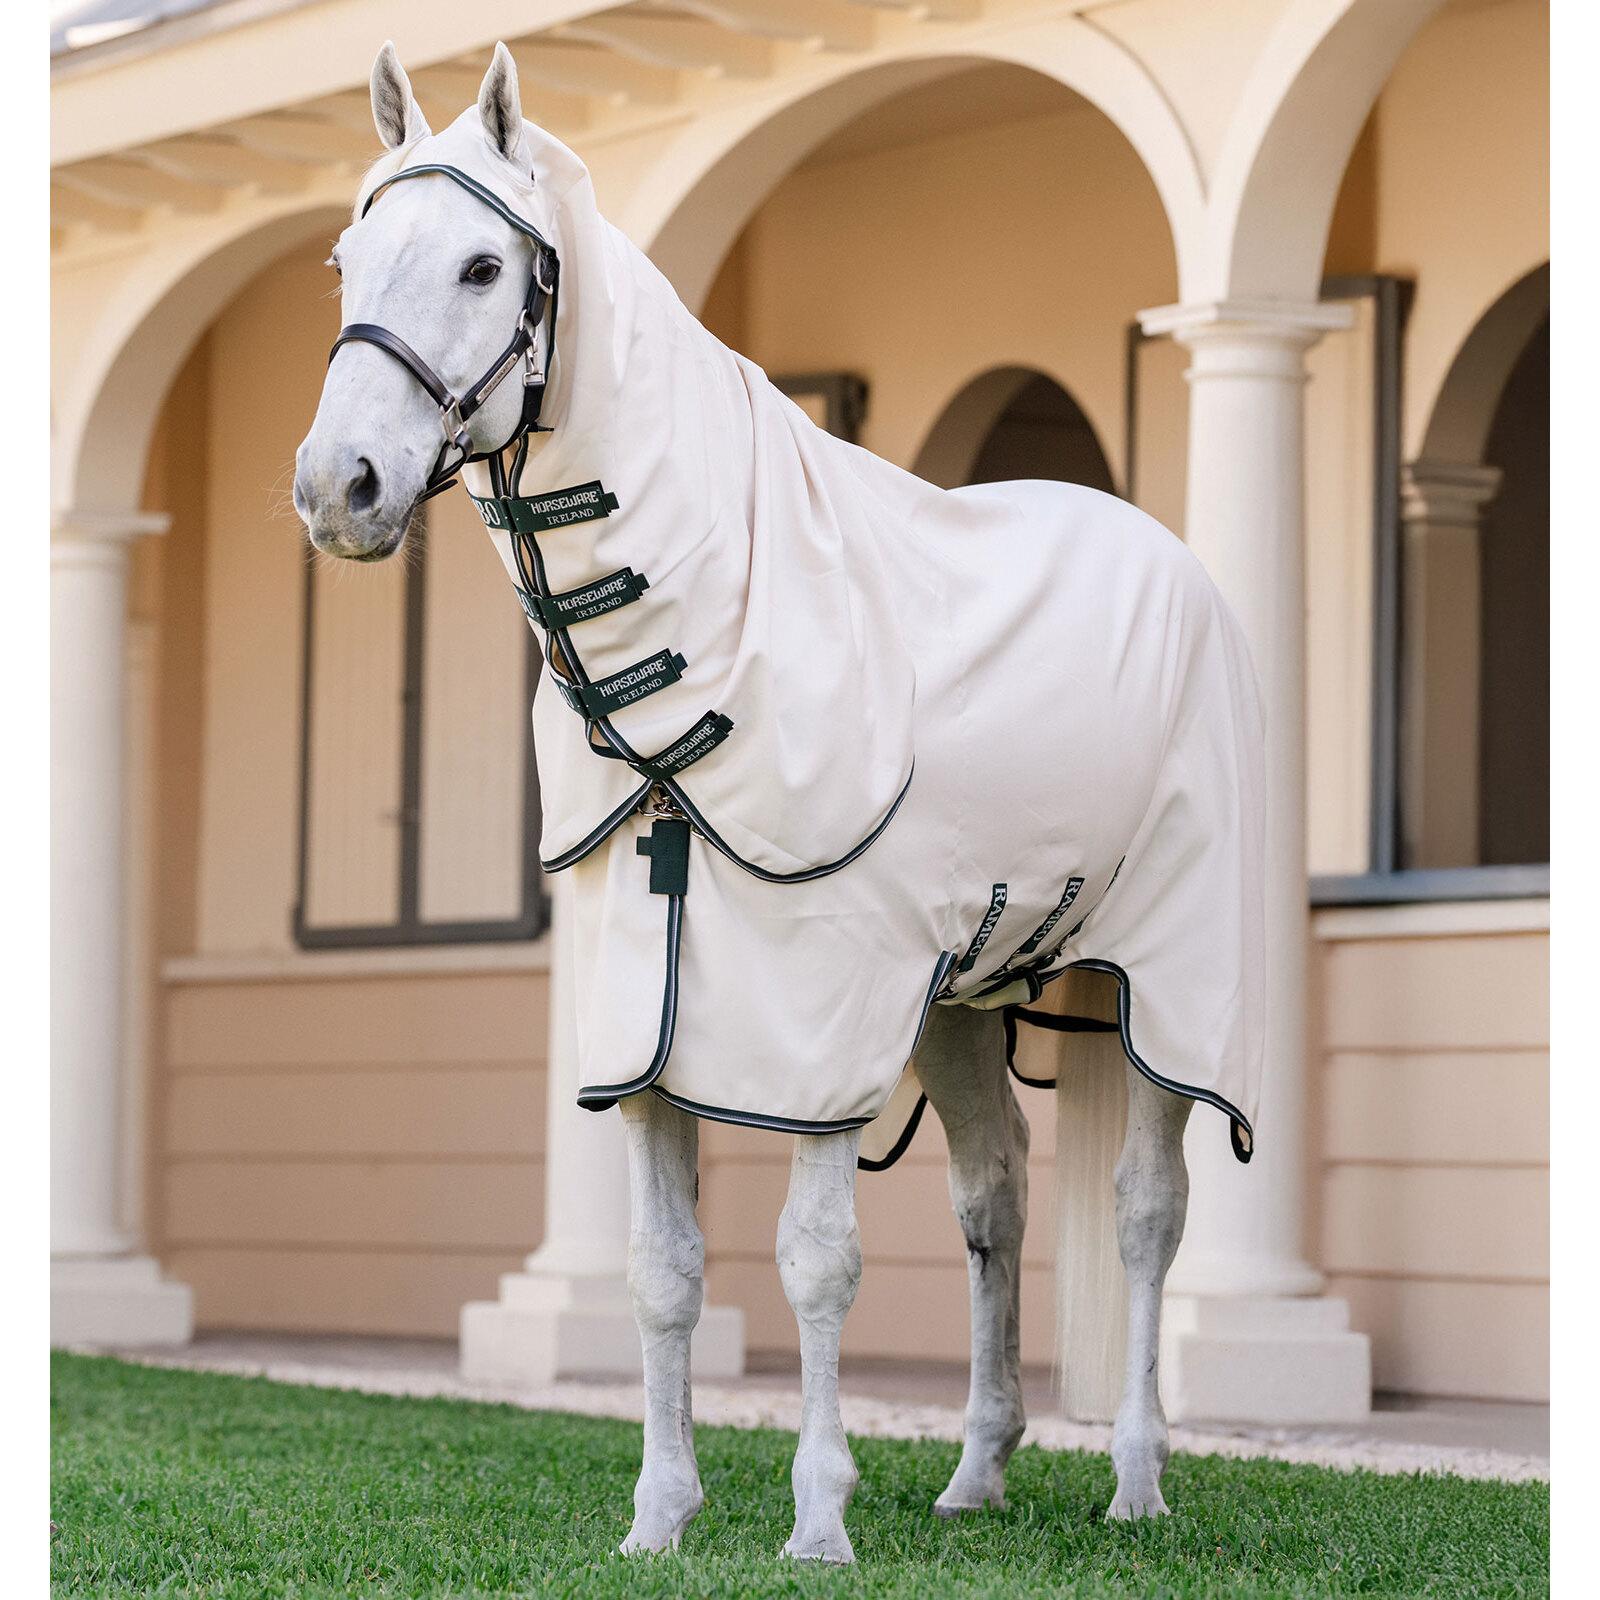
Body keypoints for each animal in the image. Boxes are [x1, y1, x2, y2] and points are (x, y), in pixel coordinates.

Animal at [293, 42, 1265, 1563]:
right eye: (345, 261)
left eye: (479, 265)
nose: (339, 490)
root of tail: (1169, 556)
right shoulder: (645, 1037)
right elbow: (661, 1270)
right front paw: (661, 1513)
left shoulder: (819, 1031)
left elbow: (816, 1264)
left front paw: (817, 1517)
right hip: (958, 1000)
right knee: (994, 1198)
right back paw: (978, 1469)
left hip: (1166, 987)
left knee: (1145, 1213)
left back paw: (1136, 1477)